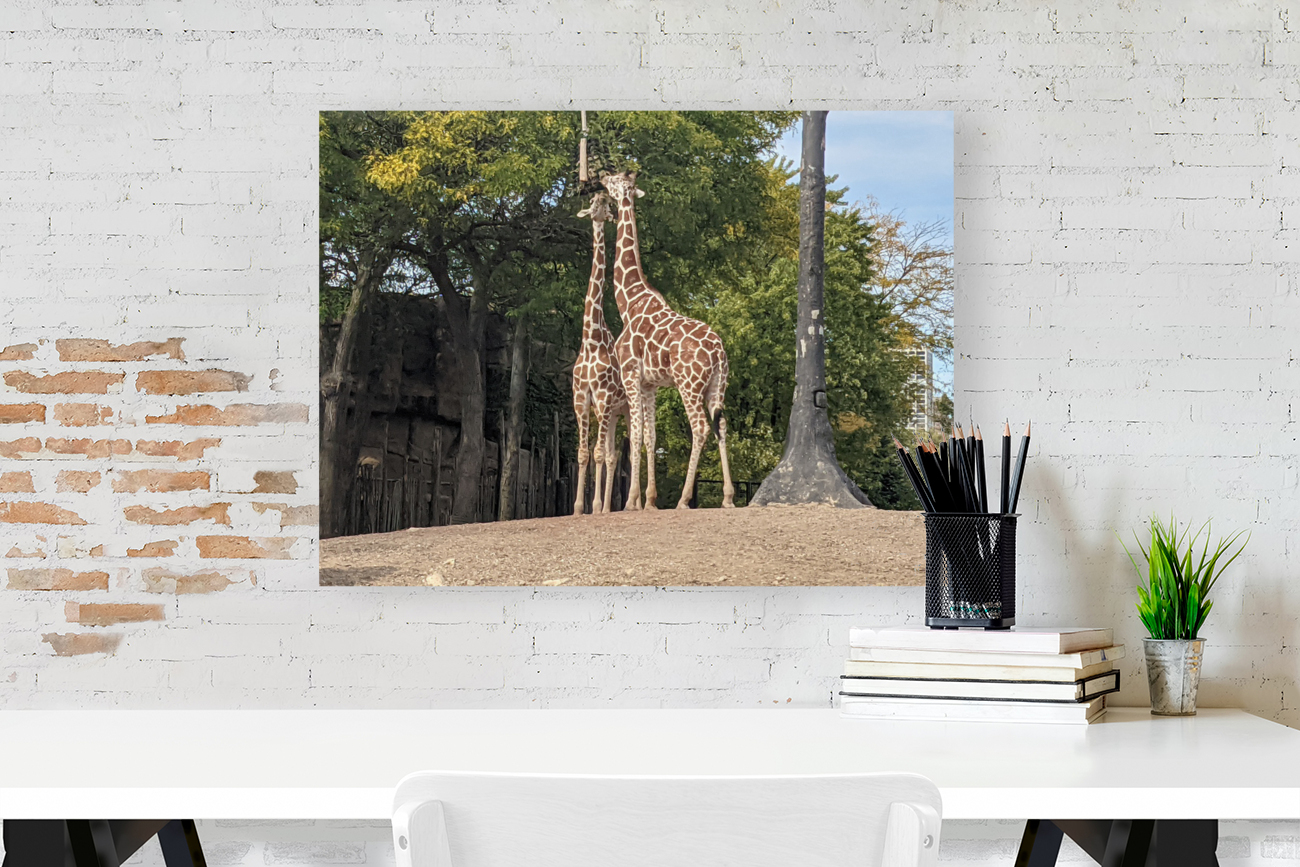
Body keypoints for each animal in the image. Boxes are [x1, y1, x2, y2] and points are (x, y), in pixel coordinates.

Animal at [600, 171, 735, 510]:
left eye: (615, 180)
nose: (601, 177)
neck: (628, 301)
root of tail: (718, 352)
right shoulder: (651, 384)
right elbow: (651, 437)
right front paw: (648, 500)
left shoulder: (631, 375)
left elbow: (635, 436)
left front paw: (631, 501)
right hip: (717, 385)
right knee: (721, 425)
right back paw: (728, 497)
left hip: (689, 384)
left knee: (700, 427)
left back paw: (684, 499)